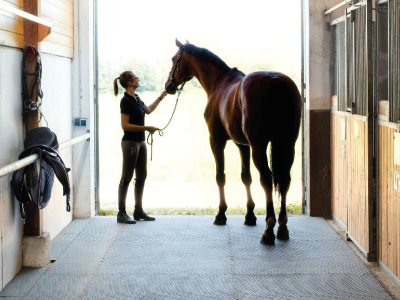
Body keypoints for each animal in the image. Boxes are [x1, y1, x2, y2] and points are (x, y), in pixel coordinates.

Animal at [165, 38, 300, 245]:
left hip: (259, 147)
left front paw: (221, 214)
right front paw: (250, 215)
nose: (168, 86)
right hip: (287, 145)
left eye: (174, 59)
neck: (220, 82)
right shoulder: (242, 145)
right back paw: (282, 228)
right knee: (285, 180)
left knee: (266, 179)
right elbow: (246, 177)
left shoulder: (216, 140)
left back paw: (269, 230)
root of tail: (276, 82)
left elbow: (220, 176)